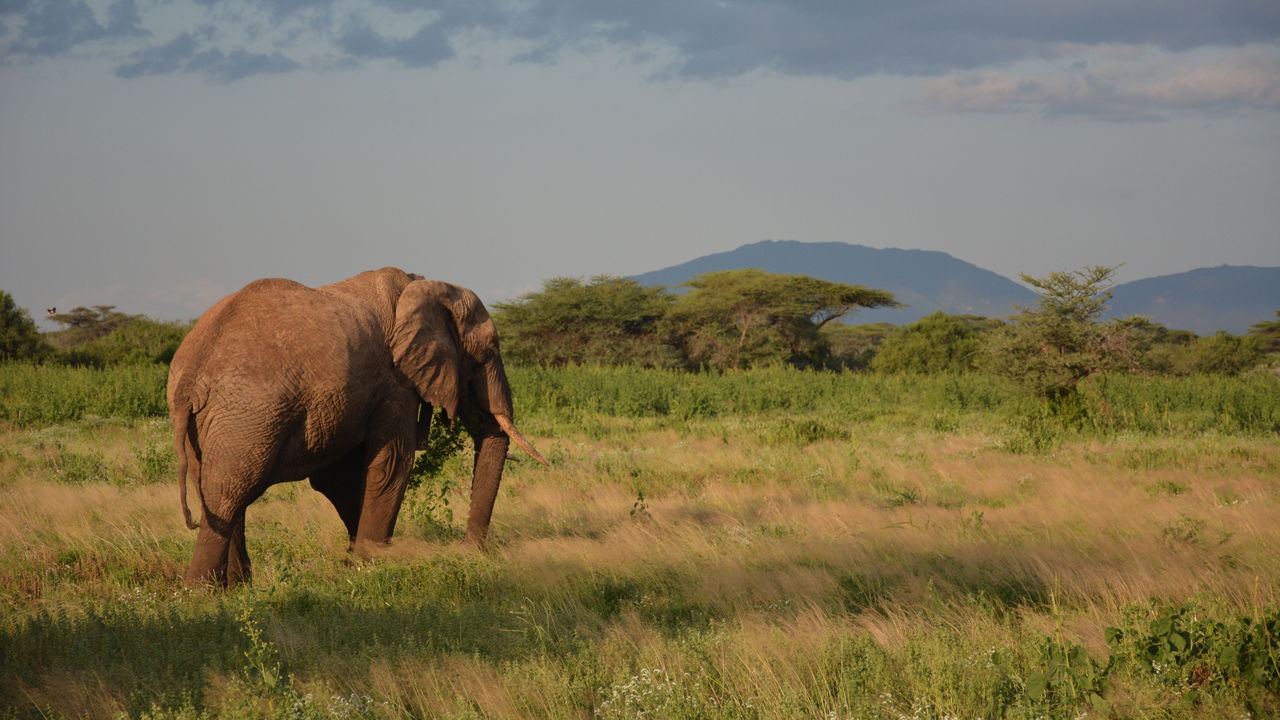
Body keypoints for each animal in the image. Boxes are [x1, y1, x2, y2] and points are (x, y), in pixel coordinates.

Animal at [166, 266, 545, 586]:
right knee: (230, 490)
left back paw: (237, 588)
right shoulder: (395, 381)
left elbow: (340, 479)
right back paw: (203, 592)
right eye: (489, 350)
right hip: (250, 411)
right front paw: (372, 565)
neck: (419, 285)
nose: (469, 551)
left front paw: (354, 564)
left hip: (216, 421)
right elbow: (391, 465)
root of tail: (190, 376)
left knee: (217, 489)